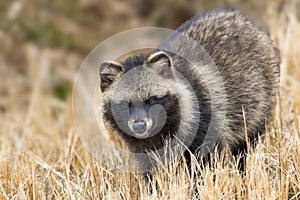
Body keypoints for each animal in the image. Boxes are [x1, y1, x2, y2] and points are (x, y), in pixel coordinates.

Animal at [99, 8, 280, 172]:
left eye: (151, 100)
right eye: (125, 104)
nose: (139, 126)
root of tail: (237, 14)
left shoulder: (205, 119)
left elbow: (207, 162)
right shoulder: (143, 146)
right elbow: (151, 168)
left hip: (259, 98)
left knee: (246, 142)